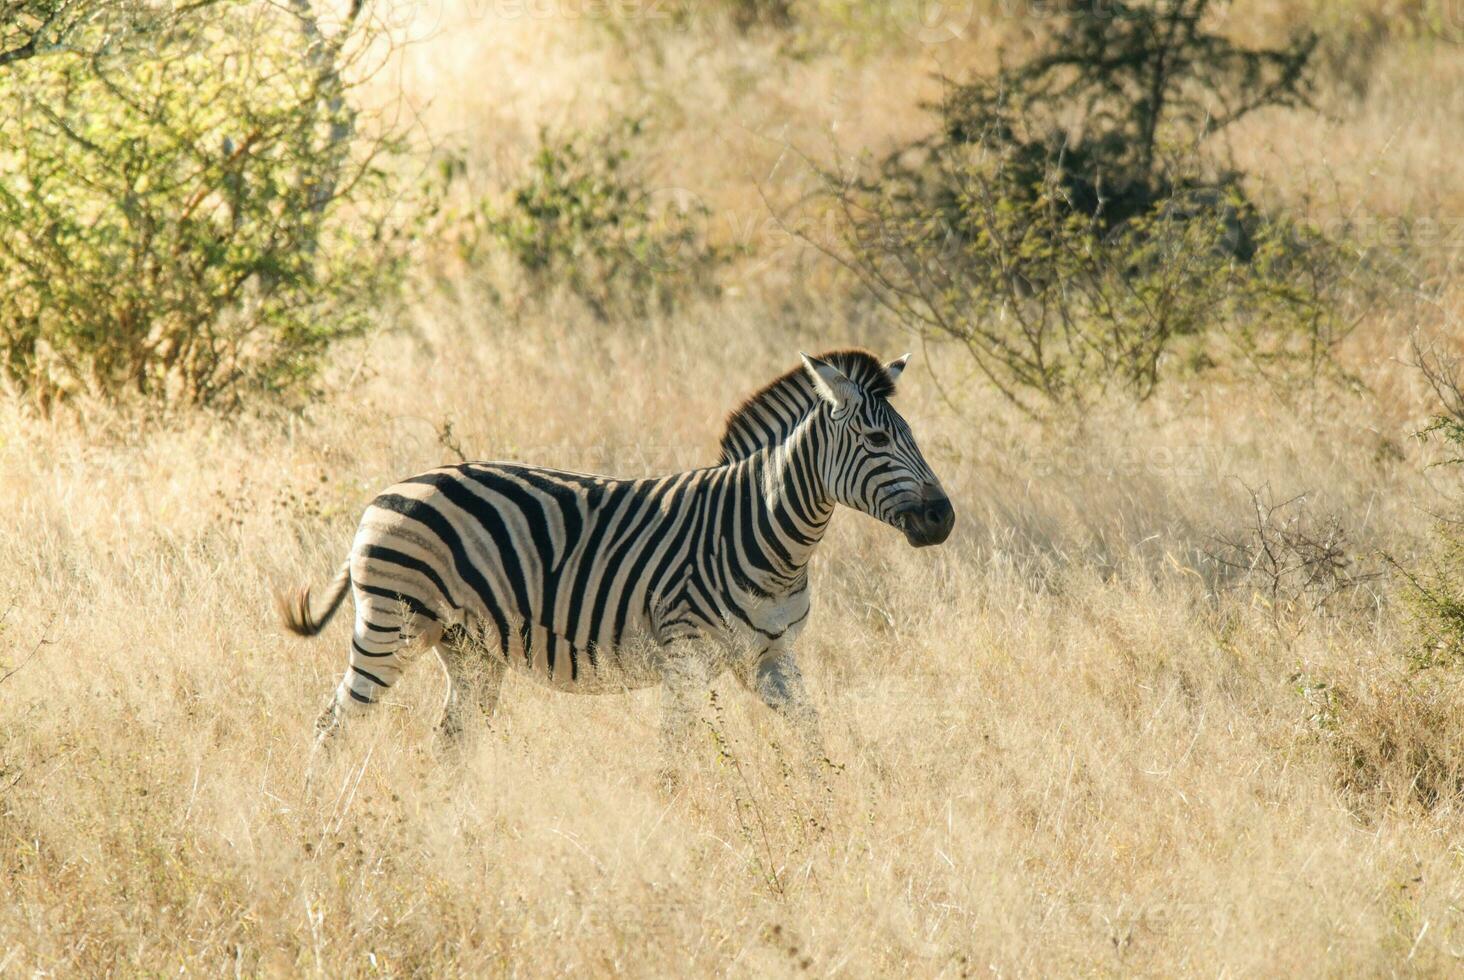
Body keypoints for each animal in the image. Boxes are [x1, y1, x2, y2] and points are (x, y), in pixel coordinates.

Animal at [279, 347, 954, 767]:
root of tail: (382, 496)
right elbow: (675, 755)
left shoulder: (771, 657)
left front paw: (828, 813)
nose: (943, 518)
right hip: (392, 625)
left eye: (912, 436)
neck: (768, 535)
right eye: (877, 439)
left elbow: (813, 739)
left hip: (469, 649)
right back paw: (320, 816)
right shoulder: (686, 656)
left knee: (449, 741)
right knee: (331, 724)